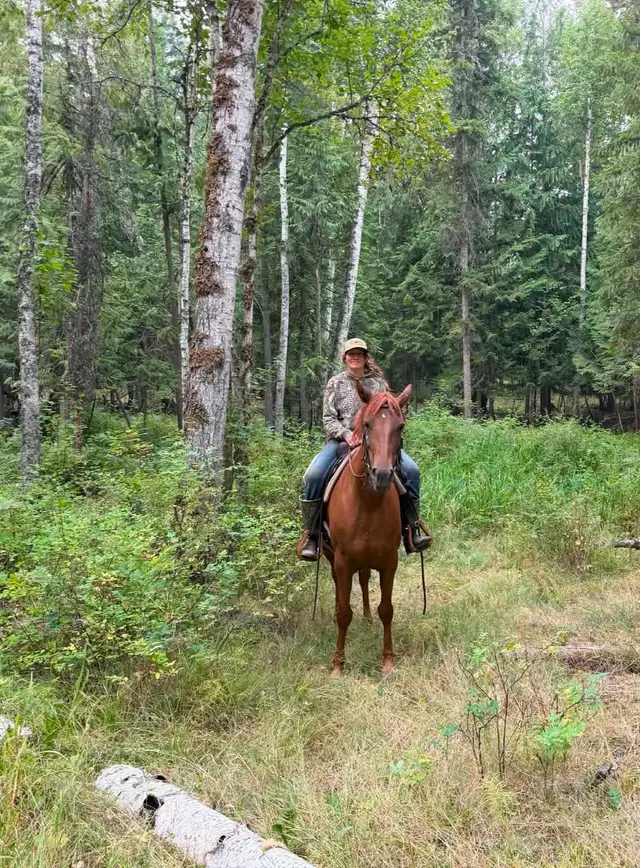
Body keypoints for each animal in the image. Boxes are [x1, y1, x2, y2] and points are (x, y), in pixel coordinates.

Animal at [323, 380, 412, 678]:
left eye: (400, 426)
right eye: (368, 425)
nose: (382, 475)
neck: (368, 503)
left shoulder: (389, 561)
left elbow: (386, 609)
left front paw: (387, 661)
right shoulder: (342, 560)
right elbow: (342, 612)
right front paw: (338, 665)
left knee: (362, 581)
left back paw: (367, 616)